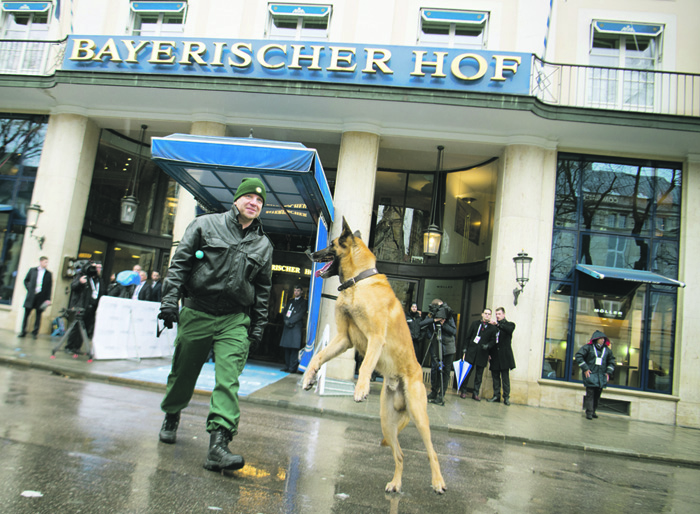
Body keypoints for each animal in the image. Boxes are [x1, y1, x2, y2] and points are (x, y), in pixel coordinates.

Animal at [300, 217, 442, 492]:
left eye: (331, 244)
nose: (309, 252)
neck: (358, 281)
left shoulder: (375, 338)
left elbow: (365, 365)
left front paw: (361, 389)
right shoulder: (343, 339)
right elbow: (318, 357)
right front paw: (309, 377)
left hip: (419, 416)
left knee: (432, 451)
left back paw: (438, 482)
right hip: (387, 423)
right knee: (400, 454)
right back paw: (396, 484)